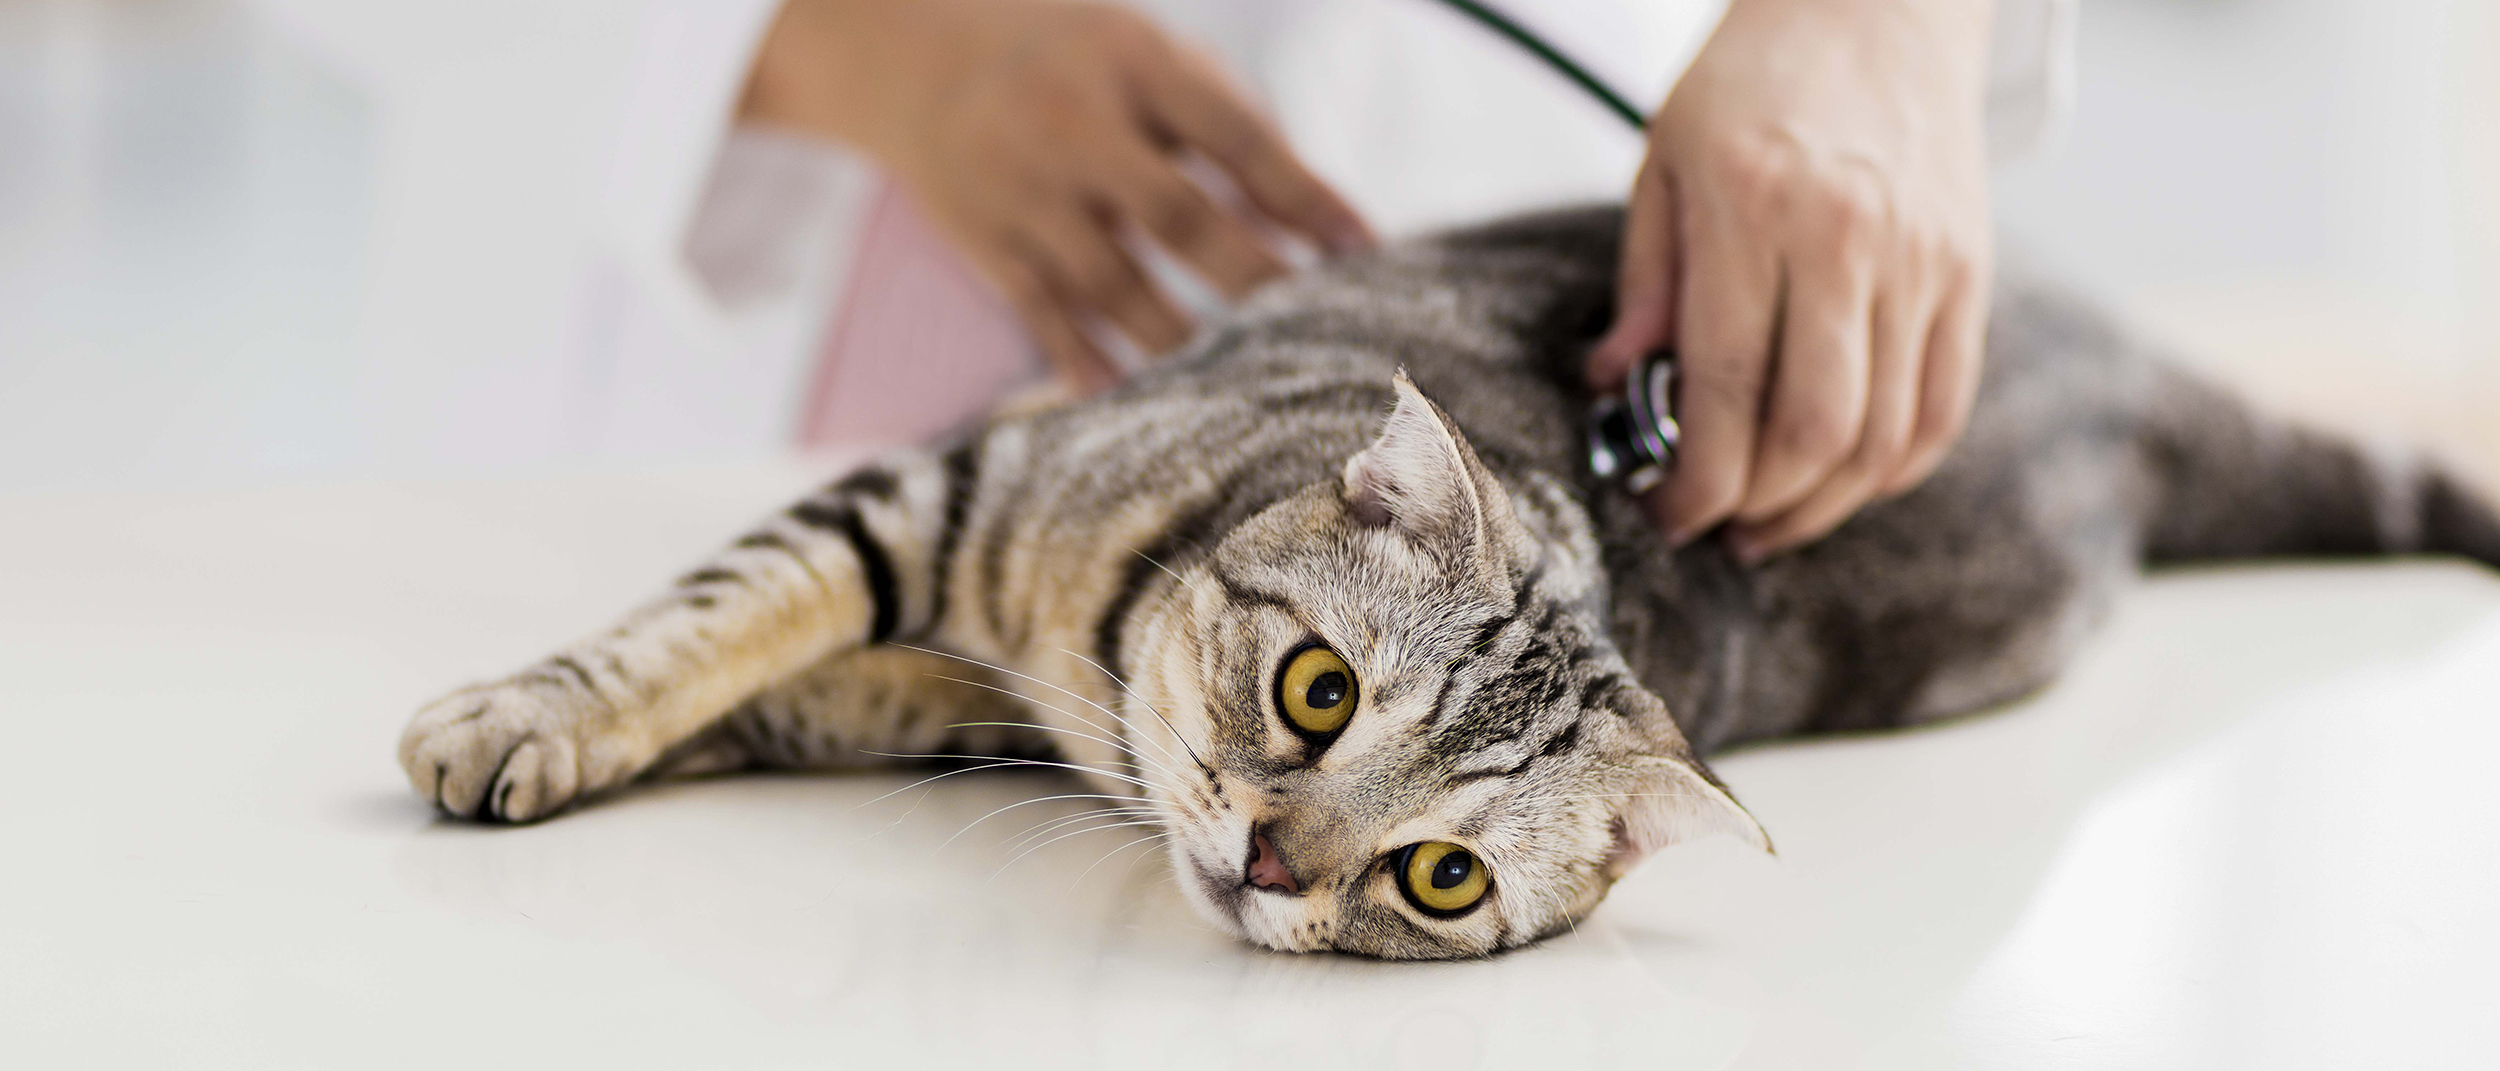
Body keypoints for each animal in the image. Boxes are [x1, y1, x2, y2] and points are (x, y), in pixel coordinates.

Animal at [395, 205, 2500, 955]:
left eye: (1439, 878)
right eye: (1319, 688)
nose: (1266, 862)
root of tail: (2099, 358)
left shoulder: (957, 671)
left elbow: (784, 680)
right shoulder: (952, 481)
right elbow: (717, 617)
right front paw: (528, 716)